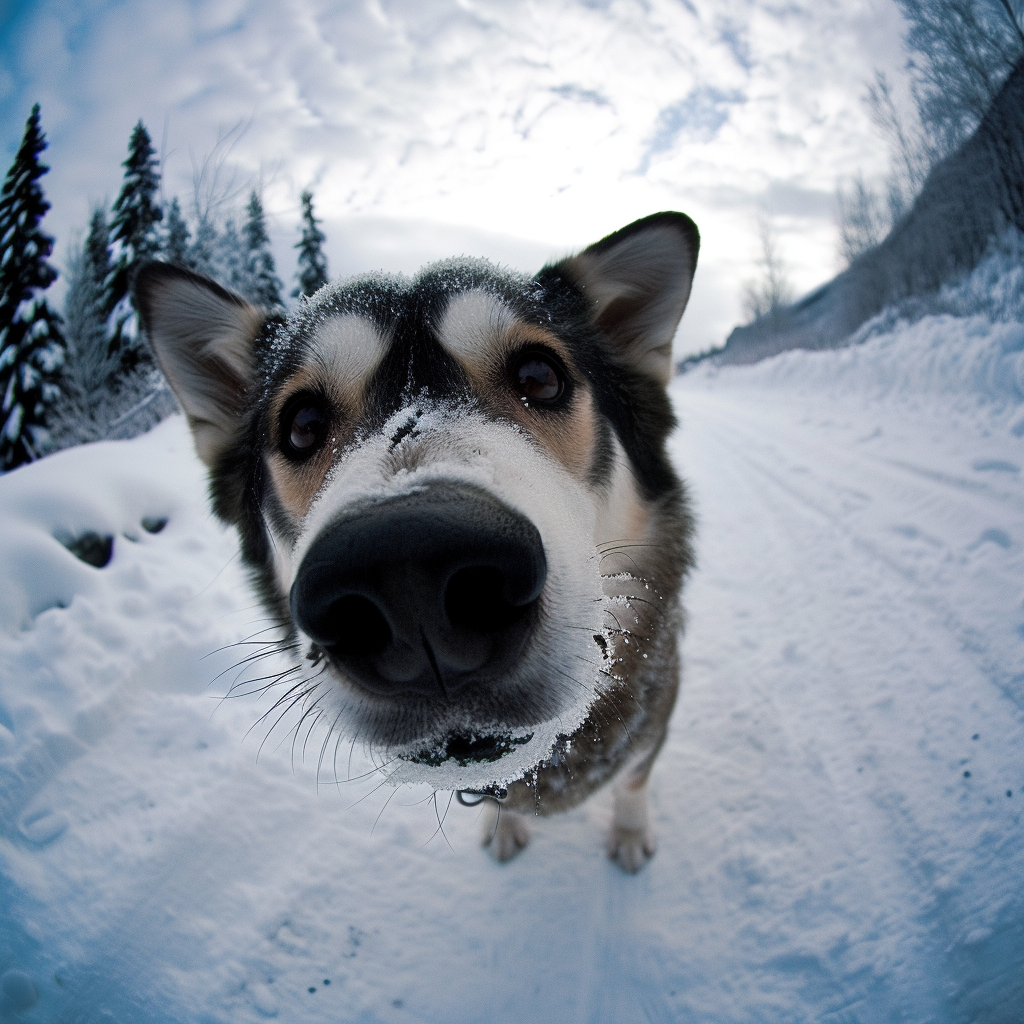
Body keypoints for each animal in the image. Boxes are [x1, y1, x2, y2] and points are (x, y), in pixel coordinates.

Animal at [134, 214, 696, 872]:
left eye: (540, 377)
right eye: (302, 425)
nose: (410, 580)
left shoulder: (656, 714)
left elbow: (633, 778)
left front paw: (629, 834)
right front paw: (503, 827)